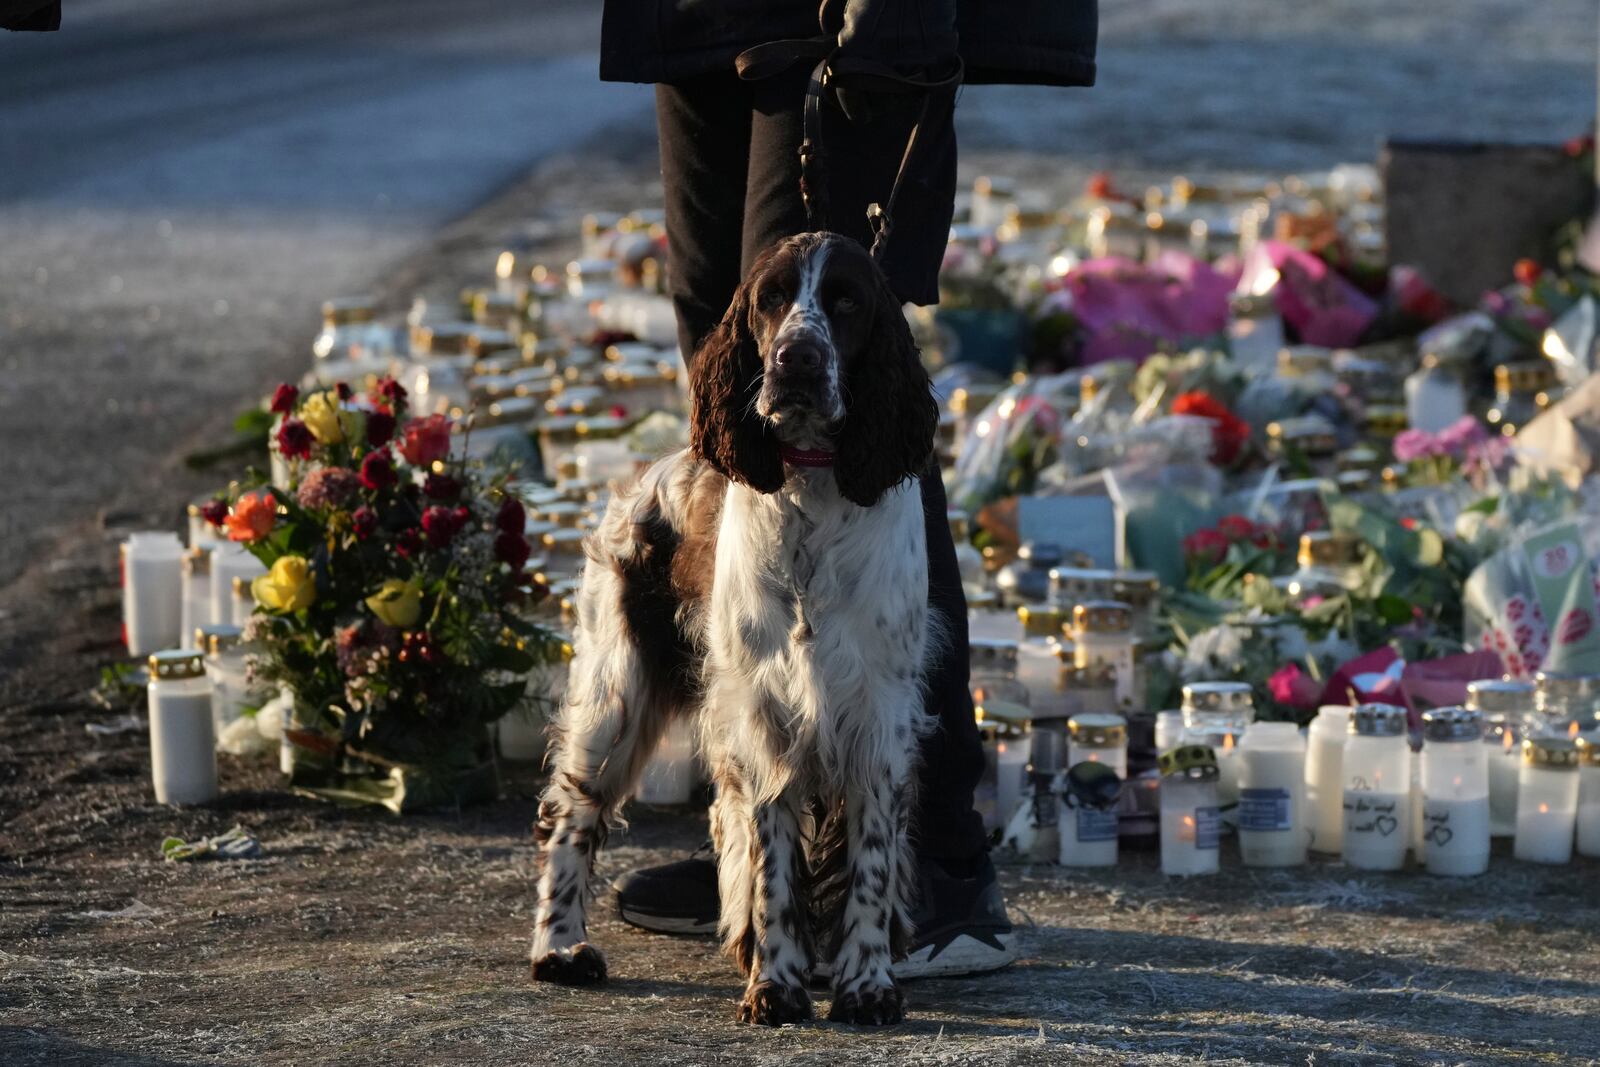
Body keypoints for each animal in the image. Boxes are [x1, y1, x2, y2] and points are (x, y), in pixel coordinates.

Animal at [531, 231, 940, 1023]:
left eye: (846, 300)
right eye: (770, 298)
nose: (796, 358)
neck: (815, 489)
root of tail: (647, 473)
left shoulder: (878, 715)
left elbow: (870, 864)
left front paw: (866, 985)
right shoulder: (766, 711)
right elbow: (775, 864)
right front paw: (776, 985)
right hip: (617, 694)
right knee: (575, 813)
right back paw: (560, 947)